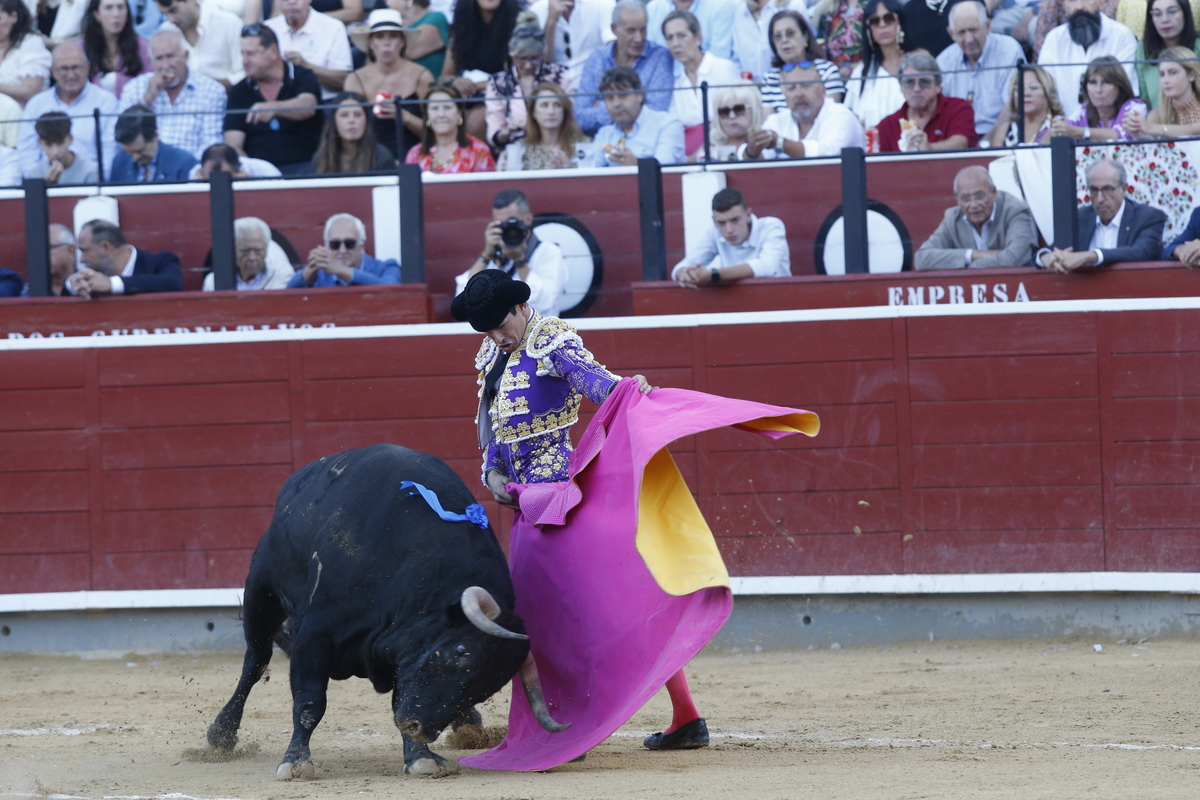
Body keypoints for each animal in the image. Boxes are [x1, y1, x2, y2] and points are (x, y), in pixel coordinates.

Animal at [206, 443, 566, 777]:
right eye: (462, 651)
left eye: (489, 686)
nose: (420, 727)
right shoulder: (315, 633)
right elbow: (309, 701)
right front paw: (295, 762)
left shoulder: (404, 655)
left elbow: (400, 695)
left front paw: (420, 755)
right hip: (261, 591)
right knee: (256, 660)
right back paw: (220, 735)